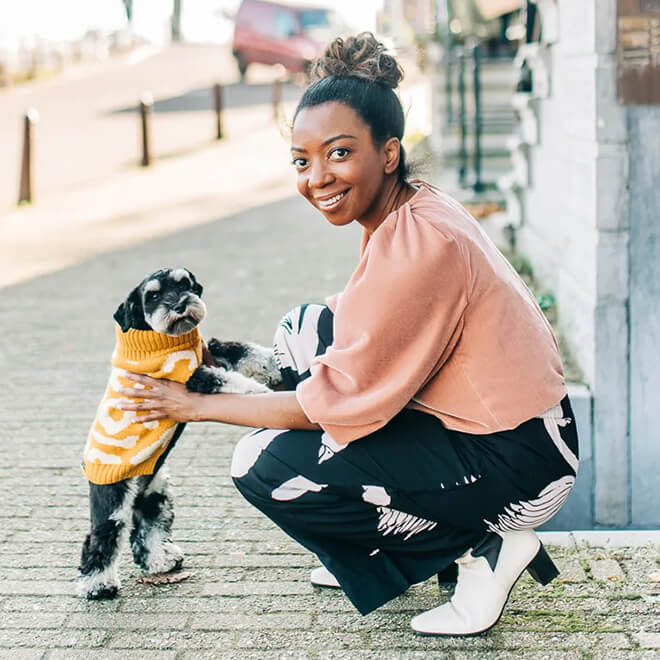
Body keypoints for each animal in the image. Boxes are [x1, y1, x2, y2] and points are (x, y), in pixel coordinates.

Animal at [78, 266, 280, 600]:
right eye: (153, 295)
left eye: (184, 283)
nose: (180, 305)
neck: (161, 339)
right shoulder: (195, 375)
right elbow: (234, 382)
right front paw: (263, 394)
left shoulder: (210, 351)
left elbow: (245, 351)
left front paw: (274, 365)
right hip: (114, 500)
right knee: (101, 538)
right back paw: (97, 586)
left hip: (154, 494)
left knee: (146, 531)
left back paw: (160, 562)